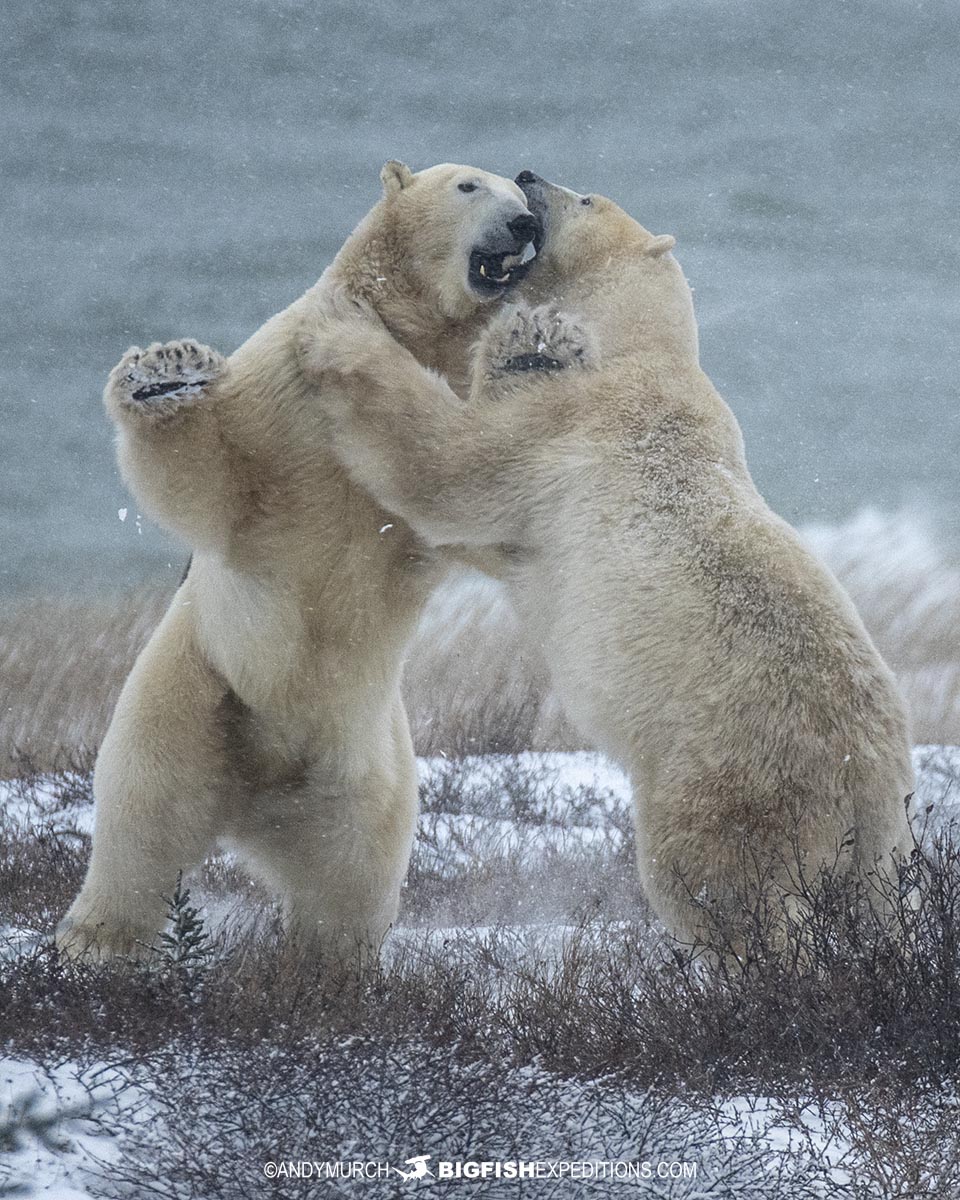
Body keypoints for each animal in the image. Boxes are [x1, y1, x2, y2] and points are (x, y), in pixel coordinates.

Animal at [56, 161, 540, 961]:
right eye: (470, 185)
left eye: (522, 193)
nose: (527, 222)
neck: (413, 327)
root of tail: (258, 794)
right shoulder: (280, 388)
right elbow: (217, 480)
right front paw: (165, 374)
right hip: (192, 694)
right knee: (142, 821)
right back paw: (97, 946)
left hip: (368, 764)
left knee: (350, 877)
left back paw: (327, 966)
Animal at [298, 171, 916, 953]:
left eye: (586, 198)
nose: (529, 176)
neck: (639, 346)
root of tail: (864, 778)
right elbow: (476, 531)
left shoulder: (572, 421)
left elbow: (447, 465)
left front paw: (339, 330)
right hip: (884, 845)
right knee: (879, 907)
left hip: (729, 779)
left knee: (721, 889)